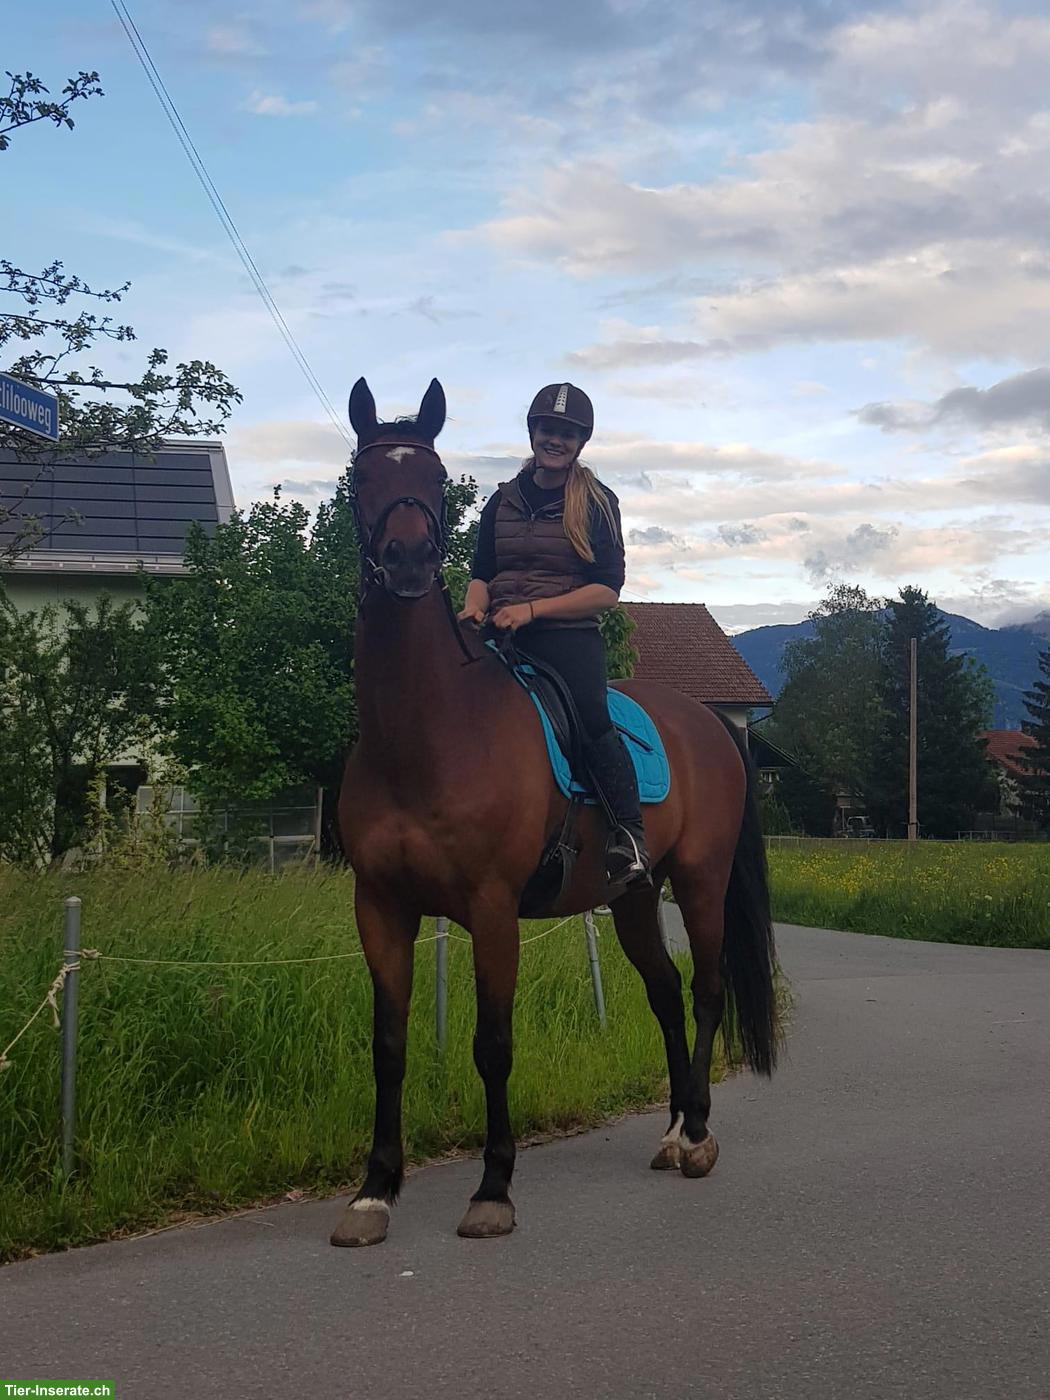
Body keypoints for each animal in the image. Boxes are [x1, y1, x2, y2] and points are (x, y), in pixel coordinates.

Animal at [331, 377, 778, 1247]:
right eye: (362, 477)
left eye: (437, 478)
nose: (406, 563)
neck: (425, 730)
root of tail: (711, 722)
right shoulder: (382, 908)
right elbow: (387, 1045)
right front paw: (374, 1192)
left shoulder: (492, 908)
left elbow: (494, 1044)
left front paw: (493, 1189)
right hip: (634, 896)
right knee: (665, 992)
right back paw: (672, 1130)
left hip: (700, 881)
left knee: (706, 990)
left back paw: (698, 1136)